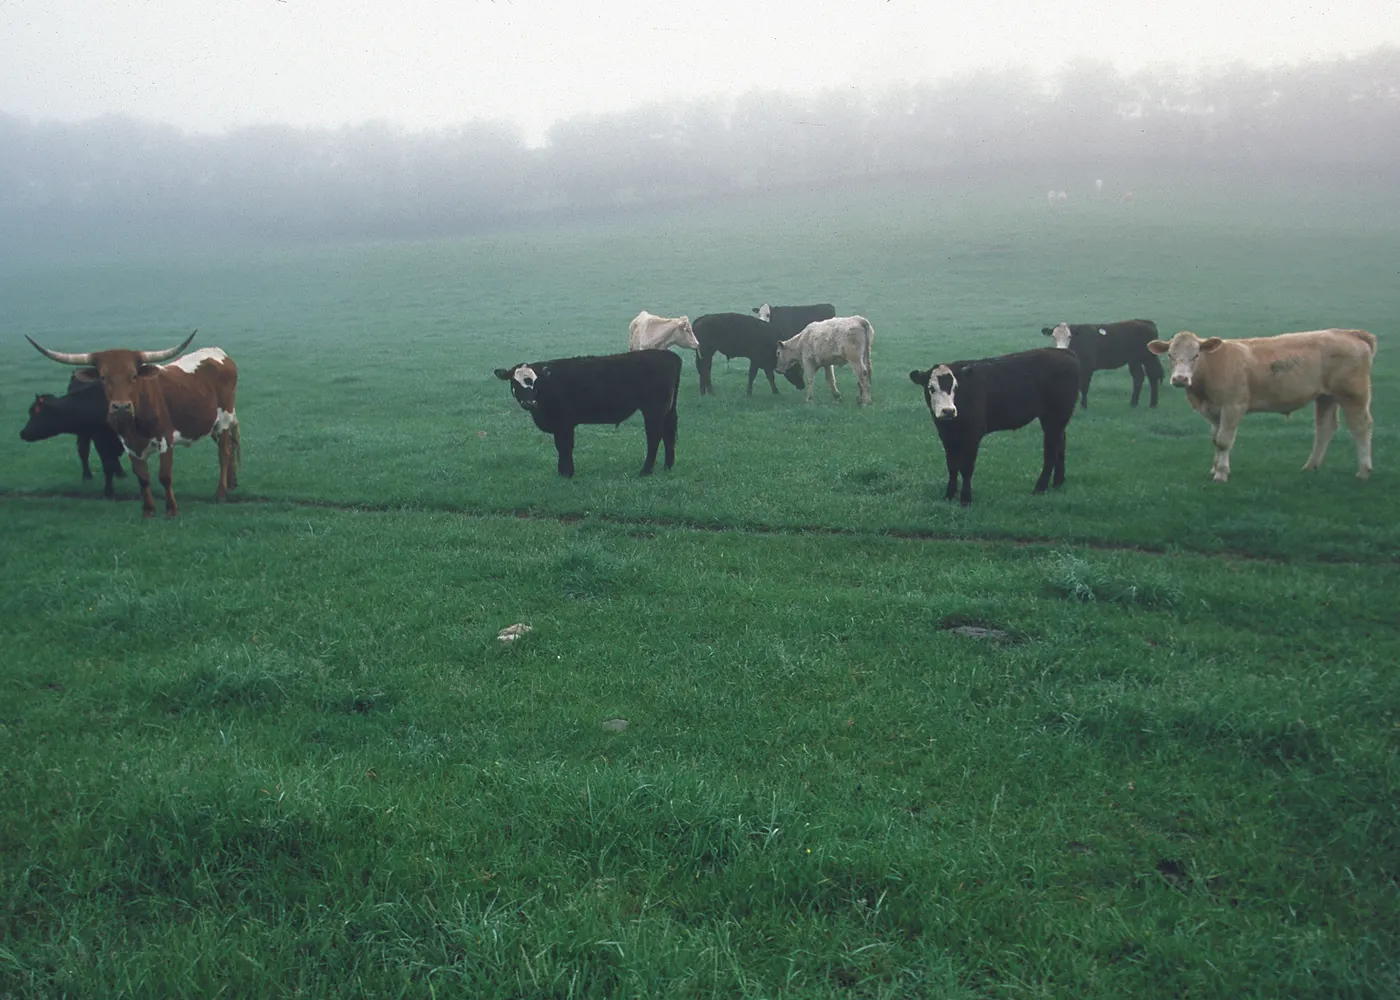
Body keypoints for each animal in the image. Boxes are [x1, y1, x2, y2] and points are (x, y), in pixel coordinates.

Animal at [26, 331, 241, 518]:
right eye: (103, 377)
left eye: (133, 376)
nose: (121, 407)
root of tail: (218, 353)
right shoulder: (128, 444)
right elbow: (142, 477)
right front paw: (148, 510)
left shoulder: (165, 440)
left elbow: (164, 476)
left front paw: (171, 510)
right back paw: (232, 484)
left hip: (224, 419)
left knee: (224, 453)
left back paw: (221, 493)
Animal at [493, 349, 681, 478]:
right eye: (514, 382)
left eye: (535, 381)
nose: (529, 402)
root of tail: (669, 355)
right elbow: (560, 447)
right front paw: (562, 471)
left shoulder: (564, 423)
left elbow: (564, 446)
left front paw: (567, 473)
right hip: (668, 409)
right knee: (669, 434)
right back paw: (668, 466)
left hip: (654, 410)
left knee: (654, 437)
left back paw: (646, 471)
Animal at [909, 348, 1080, 506]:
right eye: (931, 388)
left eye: (955, 388)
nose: (948, 411)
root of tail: (1063, 352)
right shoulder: (946, 435)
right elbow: (952, 466)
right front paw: (949, 495)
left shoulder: (973, 434)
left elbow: (966, 467)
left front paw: (966, 498)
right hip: (1055, 420)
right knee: (1060, 445)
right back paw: (1058, 482)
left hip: (1055, 417)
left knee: (1051, 451)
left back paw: (1040, 487)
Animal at [1147, 328, 1376, 482]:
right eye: (1170, 355)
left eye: (1196, 355)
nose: (1180, 379)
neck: (1212, 367)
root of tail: (1349, 333)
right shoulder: (1213, 412)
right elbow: (1215, 439)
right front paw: (1215, 468)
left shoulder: (1232, 407)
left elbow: (1223, 441)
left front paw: (1221, 473)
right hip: (1325, 397)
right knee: (1325, 429)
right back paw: (1311, 466)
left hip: (1353, 395)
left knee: (1361, 427)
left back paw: (1364, 470)